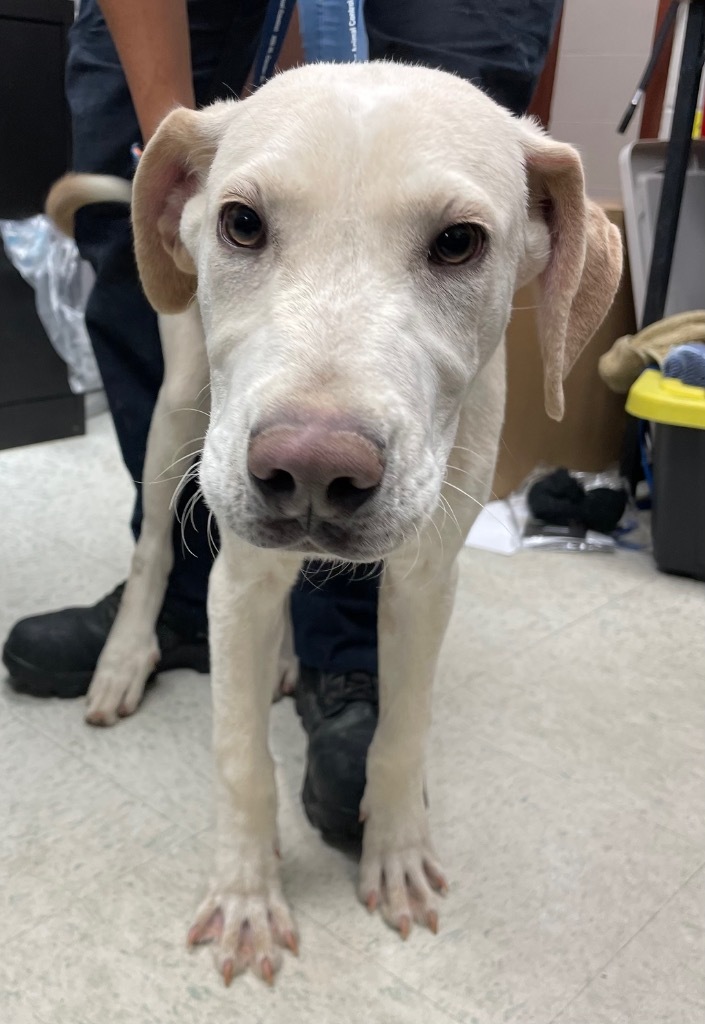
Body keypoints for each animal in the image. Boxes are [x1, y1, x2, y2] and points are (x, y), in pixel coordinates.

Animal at [49, 61, 623, 983]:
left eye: (458, 243)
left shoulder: (425, 579)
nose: (311, 470)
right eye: (241, 223)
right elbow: (240, 755)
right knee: (151, 550)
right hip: (178, 411)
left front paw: (395, 851)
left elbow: (402, 729)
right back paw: (124, 658)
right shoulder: (238, 569)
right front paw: (246, 896)